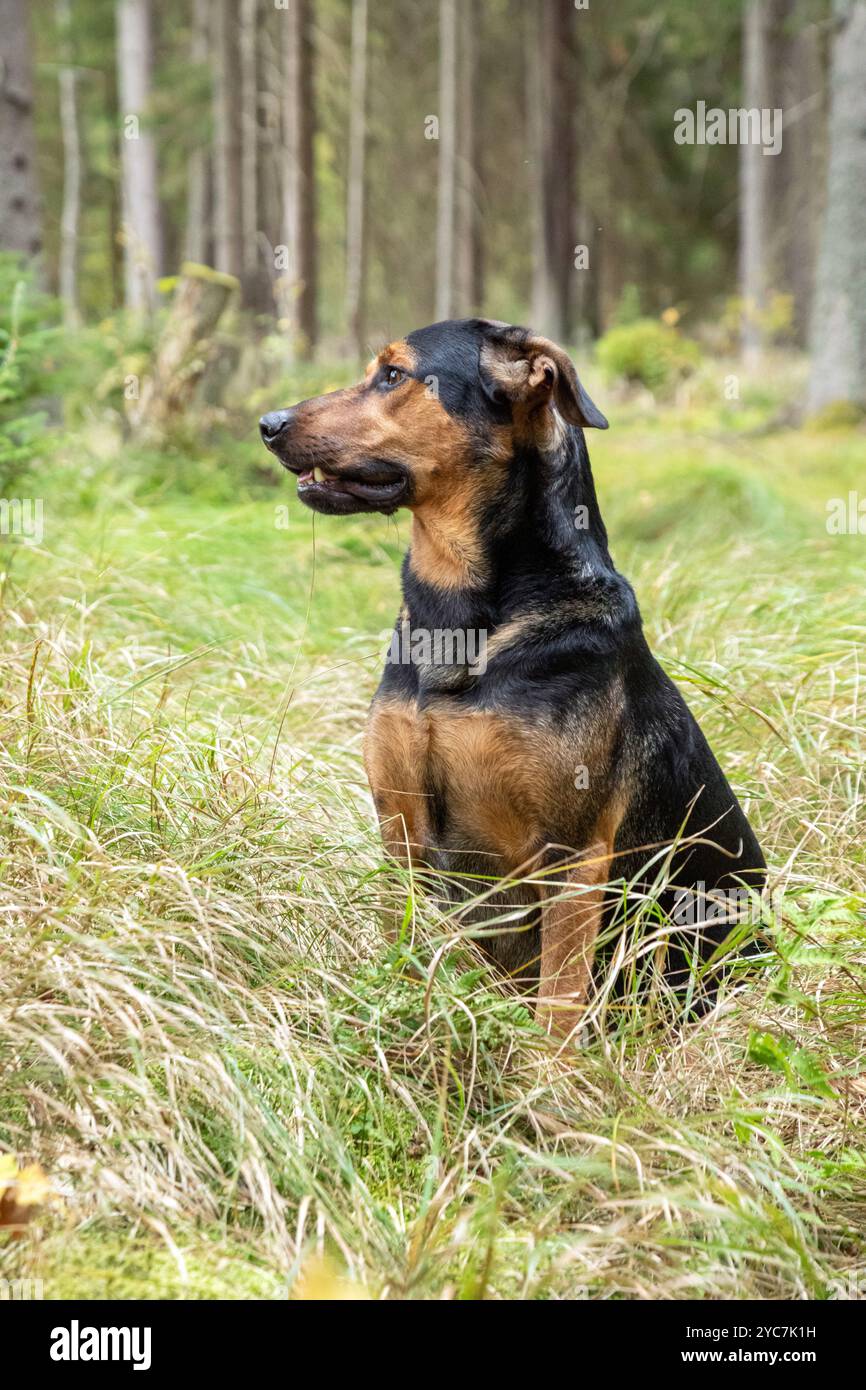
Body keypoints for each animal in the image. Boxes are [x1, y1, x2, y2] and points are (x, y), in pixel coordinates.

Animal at [261, 315, 767, 1034]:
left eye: (393, 375)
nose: (266, 422)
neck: (457, 619)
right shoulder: (399, 832)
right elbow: (403, 946)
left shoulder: (572, 858)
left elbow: (559, 1004)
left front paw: (548, 1069)